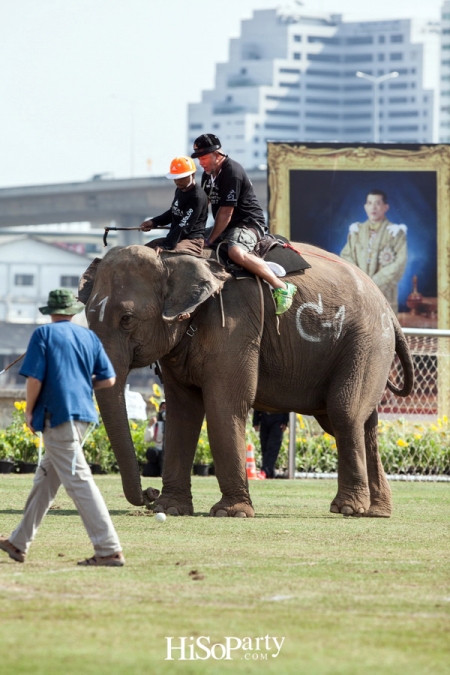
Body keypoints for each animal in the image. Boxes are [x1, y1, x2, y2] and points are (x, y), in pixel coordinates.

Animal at [78, 243, 414, 516]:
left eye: (127, 319)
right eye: (89, 319)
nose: (150, 494)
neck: (174, 257)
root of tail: (390, 313)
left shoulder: (235, 325)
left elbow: (224, 404)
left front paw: (230, 512)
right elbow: (182, 411)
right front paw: (170, 508)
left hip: (366, 343)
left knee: (344, 414)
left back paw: (348, 508)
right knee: (360, 423)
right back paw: (377, 511)